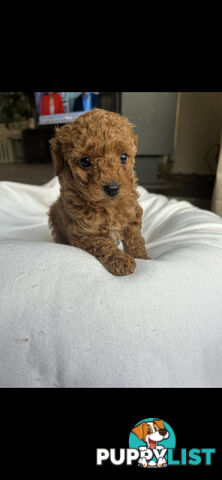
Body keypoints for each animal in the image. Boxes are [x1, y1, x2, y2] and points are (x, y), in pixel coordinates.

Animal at [48, 107, 149, 276]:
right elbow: (104, 245)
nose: (112, 188)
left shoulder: (132, 216)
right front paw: (121, 261)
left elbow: (135, 239)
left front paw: (143, 258)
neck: (108, 207)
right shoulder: (85, 233)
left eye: (123, 157)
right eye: (85, 161)